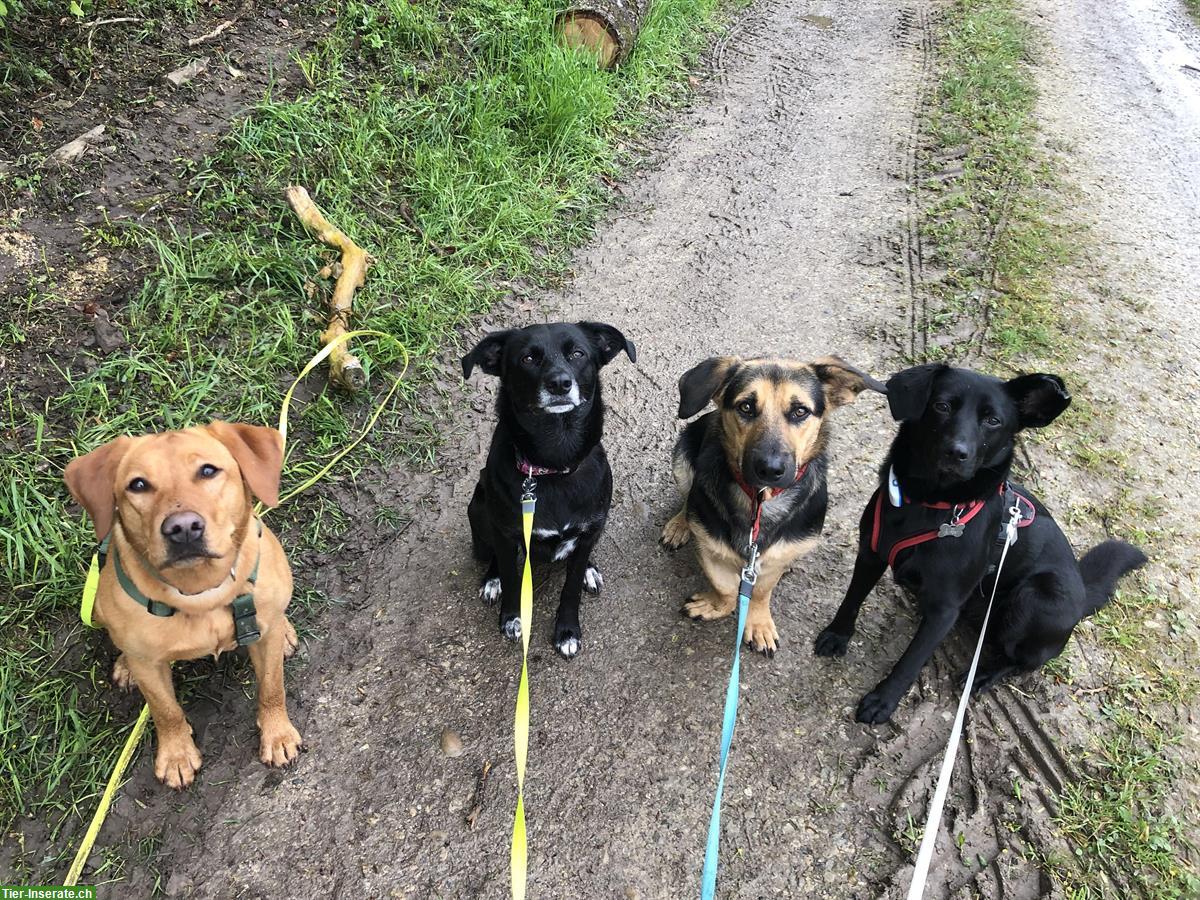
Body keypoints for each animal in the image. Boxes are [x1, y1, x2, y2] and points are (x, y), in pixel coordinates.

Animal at [460, 321, 638, 657]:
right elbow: (510, 574)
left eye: (578, 353)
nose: (559, 383)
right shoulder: (506, 533)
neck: (554, 466)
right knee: (492, 555)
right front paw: (512, 616)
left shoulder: (590, 529)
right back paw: (491, 579)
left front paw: (567, 630)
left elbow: (571, 587)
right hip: (480, 509)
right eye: (527, 358)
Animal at [816, 364, 1142, 724]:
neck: (930, 504)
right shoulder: (871, 554)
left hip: (1033, 598)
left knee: (1023, 662)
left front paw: (883, 701)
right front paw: (837, 635)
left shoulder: (944, 609)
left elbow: (911, 660)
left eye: (993, 420)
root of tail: (1084, 593)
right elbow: (851, 600)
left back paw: (983, 675)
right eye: (942, 406)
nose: (957, 452)